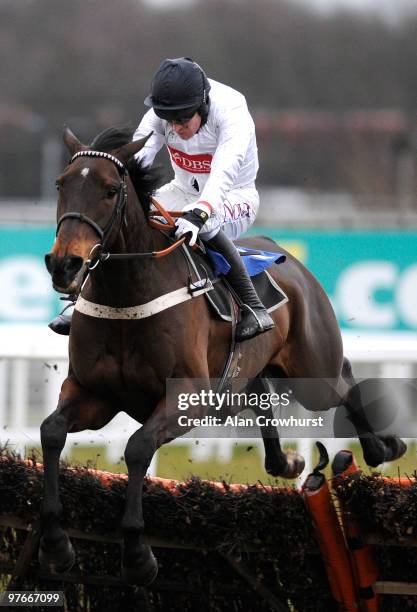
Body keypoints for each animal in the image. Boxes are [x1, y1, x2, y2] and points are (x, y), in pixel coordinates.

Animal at [40, 124, 404, 584]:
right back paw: (286, 461)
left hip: (311, 373)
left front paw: (138, 553)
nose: (64, 264)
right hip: (239, 383)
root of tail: (288, 258)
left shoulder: (186, 397)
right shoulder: (94, 393)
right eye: (60, 184)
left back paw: (383, 448)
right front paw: (56, 544)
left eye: (109, 190)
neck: (127, 296)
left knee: (344, 381)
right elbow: (52, 432)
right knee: (263, 394)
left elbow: (138, 448)